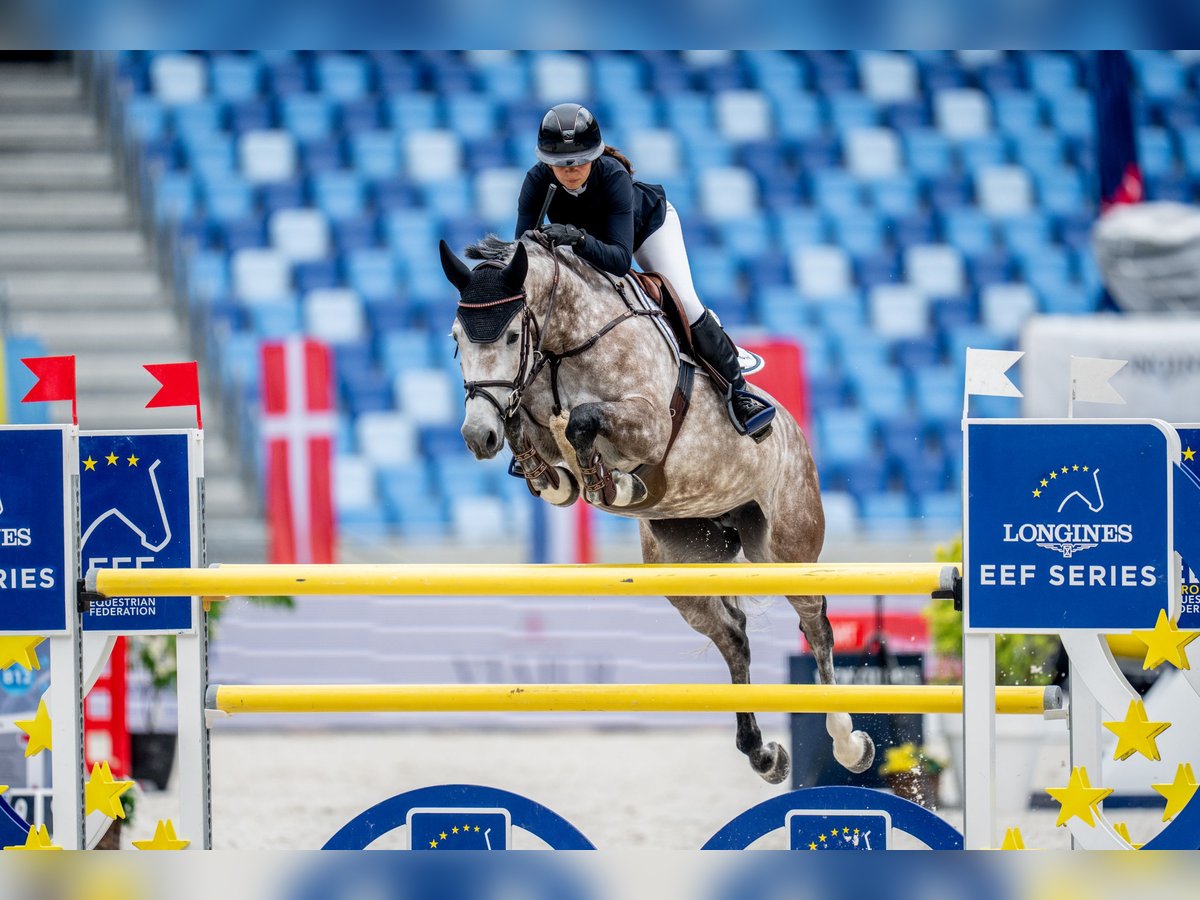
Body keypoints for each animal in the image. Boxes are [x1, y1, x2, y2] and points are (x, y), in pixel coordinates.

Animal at [441, 234, 873, 787]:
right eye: (456, 339)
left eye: (514, 334)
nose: (478, 436)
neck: (562, 347)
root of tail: (795, 434)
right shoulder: (530, 418)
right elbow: (534, 442)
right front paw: (558, 477)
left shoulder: (646, 424)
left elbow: (582, 421)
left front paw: (614, 483)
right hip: (683, 562)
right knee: (733, 634)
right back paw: (762, 753)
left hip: (786, 547)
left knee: (816, 625)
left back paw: (849, 743)